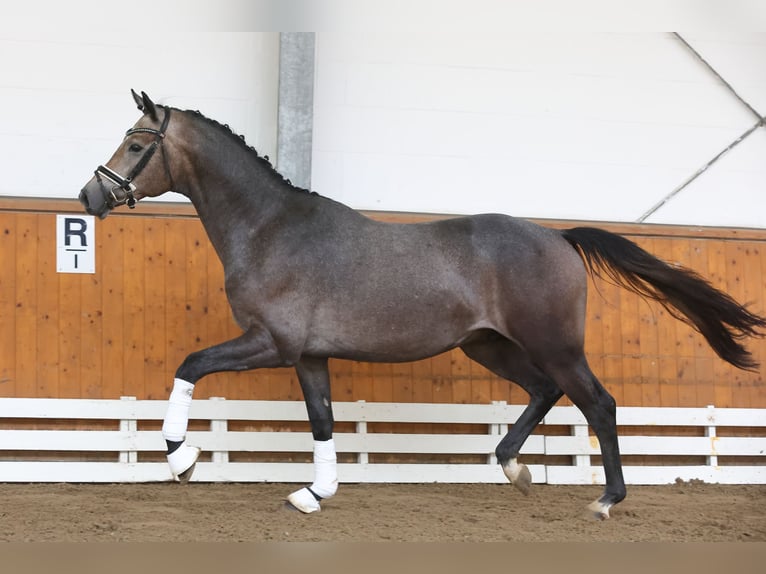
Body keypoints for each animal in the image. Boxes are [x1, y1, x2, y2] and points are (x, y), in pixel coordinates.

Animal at [79, 90, 766, 520]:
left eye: (136, 143)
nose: (90, 196)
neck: (271, 227)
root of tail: (558, 237)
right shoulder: (308, 355)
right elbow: (323, 420)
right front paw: (314, 493)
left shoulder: (271, 343)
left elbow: (190, 366)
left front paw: (182, 458)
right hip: (489, 345)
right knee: (545, 392)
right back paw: (514, 469)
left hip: (554, 344)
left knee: (598, 403)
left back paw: (605, 499)